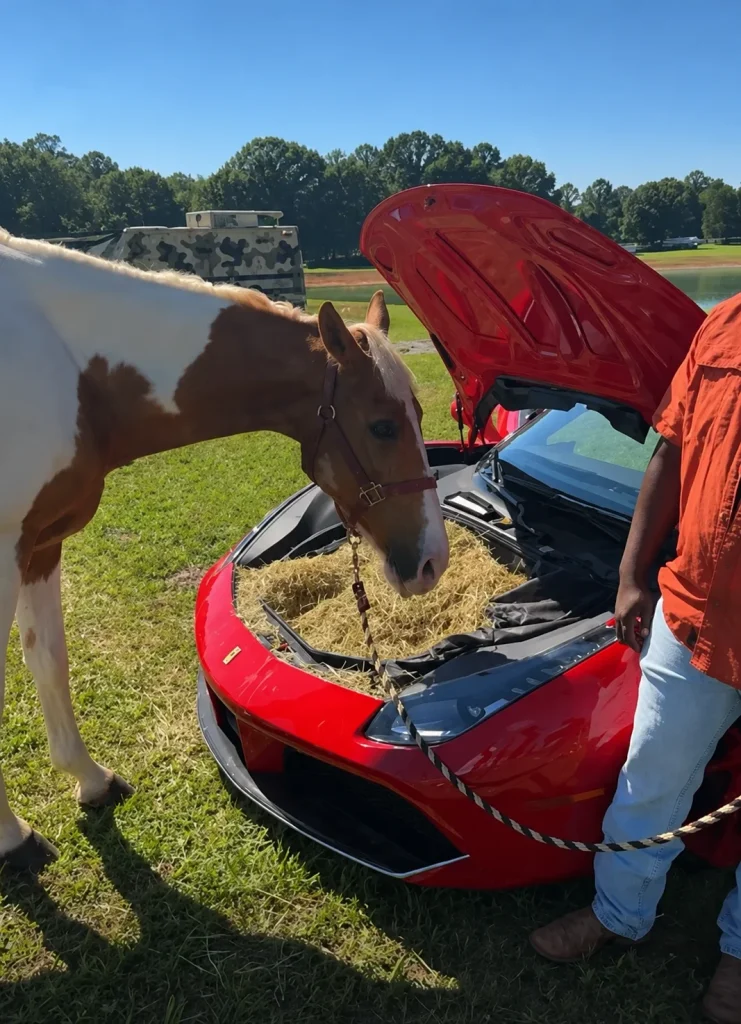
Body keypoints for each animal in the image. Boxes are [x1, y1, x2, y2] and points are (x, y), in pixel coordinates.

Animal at [0, 230, 449, 871]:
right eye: (382, 426)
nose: (433, 560)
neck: (68, 365)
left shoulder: (40, 540)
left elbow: (49, 661)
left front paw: (89, 779)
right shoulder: (6, 543)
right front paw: (12, 836)